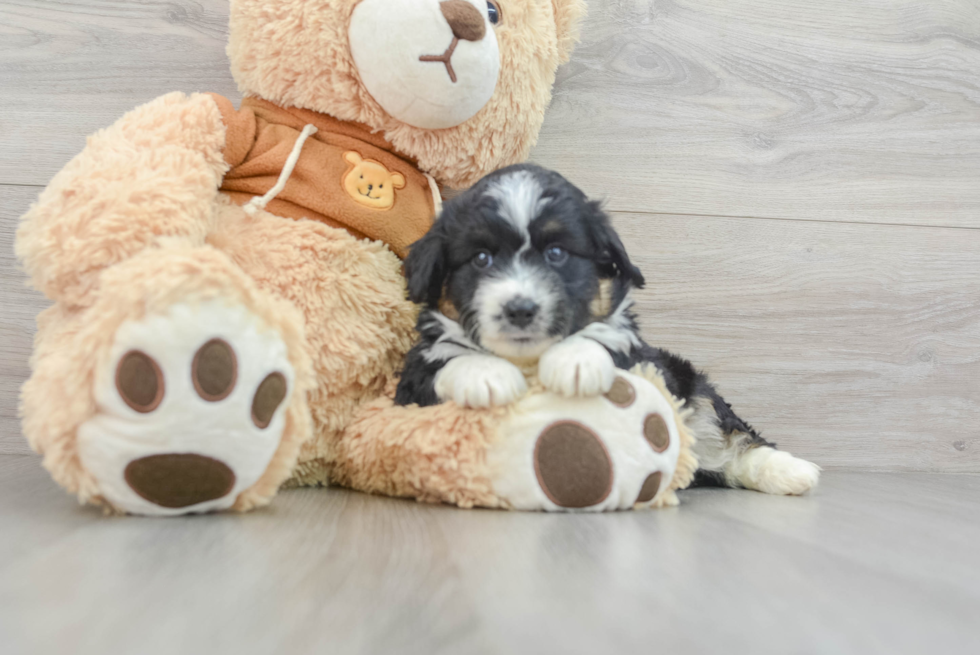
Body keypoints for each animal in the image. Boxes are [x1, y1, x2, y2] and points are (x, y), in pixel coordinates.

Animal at [396, 165, 820, 498]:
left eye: (557, 254)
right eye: (481, 259)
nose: (520, 309)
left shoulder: (639, 361)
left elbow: (604, 338)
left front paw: (576, 361)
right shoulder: (412, 384)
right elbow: (444, 358)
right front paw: (483, 374)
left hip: (692, 389)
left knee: (734, 441)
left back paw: (793, 472)